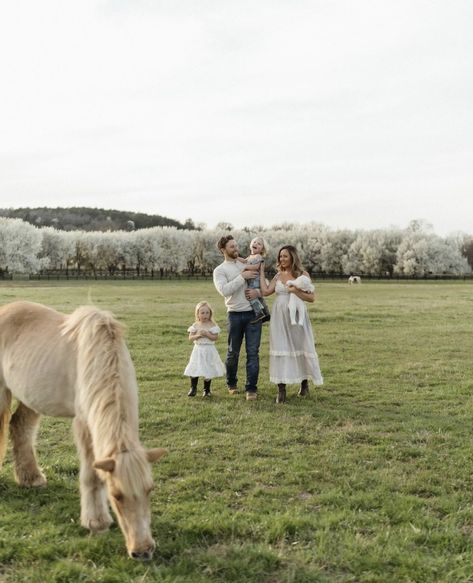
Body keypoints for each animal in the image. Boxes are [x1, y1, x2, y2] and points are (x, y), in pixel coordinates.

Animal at [0, 302, 166, 560]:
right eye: (116, 495)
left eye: (150, 489)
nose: (143, 552)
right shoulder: (83, 423)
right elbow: (91, 474)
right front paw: (96, 522)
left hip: (31, 397)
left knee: (20, 427)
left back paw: (32, 478)